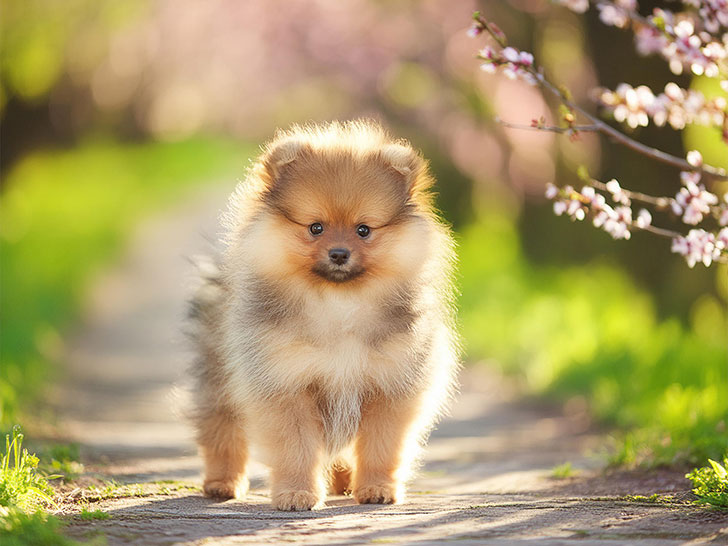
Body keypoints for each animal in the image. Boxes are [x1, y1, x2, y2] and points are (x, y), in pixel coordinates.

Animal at [191, 119, 458, 510]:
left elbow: (380, 446)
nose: (339, 253)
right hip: (217, 379)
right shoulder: (285, 383)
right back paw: (223, 483)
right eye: (315, 227)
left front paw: (378, 488)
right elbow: (296, 447)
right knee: (222, 433)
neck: (338, 303)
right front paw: (296, 493)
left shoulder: (389, 384)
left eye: (363, 230)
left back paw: (345, 484)